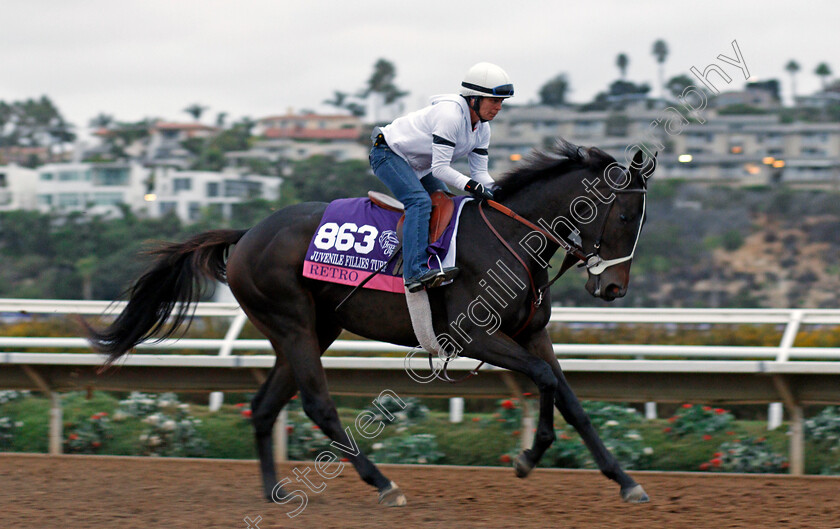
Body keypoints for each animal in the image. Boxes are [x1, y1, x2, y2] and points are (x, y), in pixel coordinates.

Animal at [80, 138, 656, 506]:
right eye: (627, 216)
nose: (613, 289)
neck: (512, 238)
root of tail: (246, 235)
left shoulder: (531, 333)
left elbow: (569, 396)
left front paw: (625, 480)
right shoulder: (476, 335)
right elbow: (542, 382)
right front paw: (529, 456)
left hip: (313, 330)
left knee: (265, 406)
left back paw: (274, 492)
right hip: (292, 324)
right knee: (317, 404)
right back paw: (382, 484)